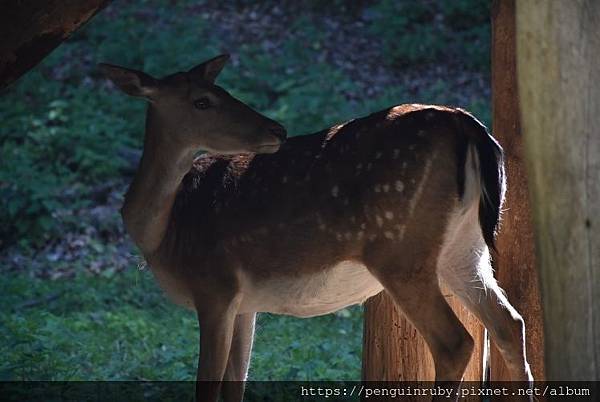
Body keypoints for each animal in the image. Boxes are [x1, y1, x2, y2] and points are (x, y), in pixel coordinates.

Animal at [101, 54, 532, 402]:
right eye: (203, 100)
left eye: (214, 93)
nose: (276, 129)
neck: (163, 233)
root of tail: (467, 126)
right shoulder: (244, 304)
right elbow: (236, 383)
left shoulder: (214, 287)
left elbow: (207, 388)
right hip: (466, 247)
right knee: (509, 323)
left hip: (400, 249)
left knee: (456, 341)